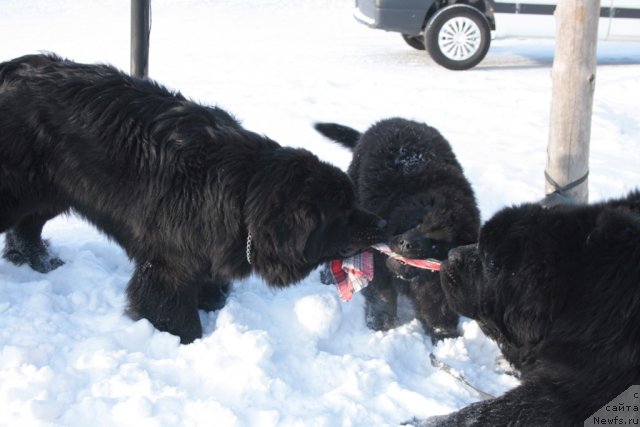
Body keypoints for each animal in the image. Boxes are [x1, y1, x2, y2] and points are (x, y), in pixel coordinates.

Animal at [0, 55, 384, 346]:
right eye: (342, 211)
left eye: (354, 200)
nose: (382, 223)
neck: (244, 195)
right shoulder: (169, 263)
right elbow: (171, 309)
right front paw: (183, 338)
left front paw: (211, 299)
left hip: (51, 191)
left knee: (28, 226)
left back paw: (39, 261)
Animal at [316, 118, 480, 342]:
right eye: (416, 223)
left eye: (438, 244)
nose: (405, 243)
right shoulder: (377, 255)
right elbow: (382, 294)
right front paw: (380, 322)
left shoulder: (438, 279)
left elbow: (437, 306)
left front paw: (444, 334)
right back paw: (329, 274)